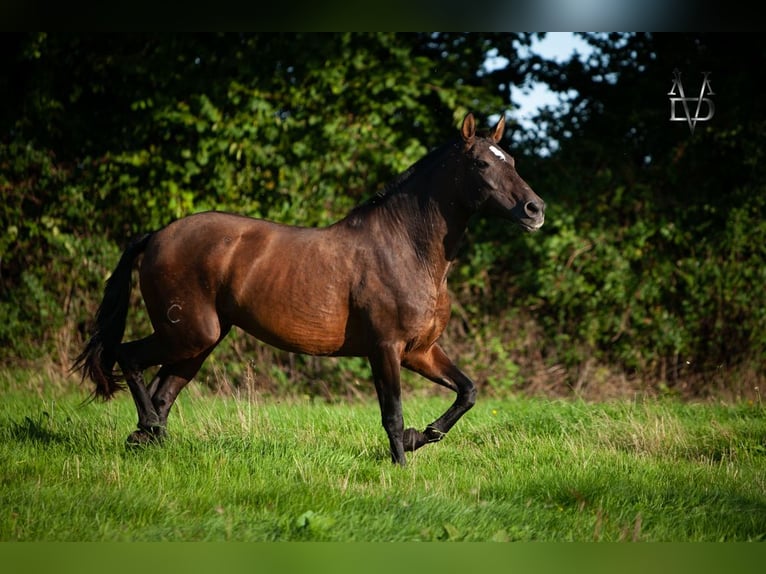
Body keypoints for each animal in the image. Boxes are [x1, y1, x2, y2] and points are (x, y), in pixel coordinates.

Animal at [75, 112, 544, 468]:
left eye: (512, 159)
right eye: (481, 165)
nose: (535, 210)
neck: (405, 248)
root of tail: (156, 236)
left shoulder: (420, 351)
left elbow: (467, 391)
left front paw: (421, 435)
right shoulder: (385, 348)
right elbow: (392, 414)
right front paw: (401, 464)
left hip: (198, 341)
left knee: (163, 390)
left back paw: (148, 439)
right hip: (187, 333)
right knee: (128, 358)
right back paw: (148, 430)